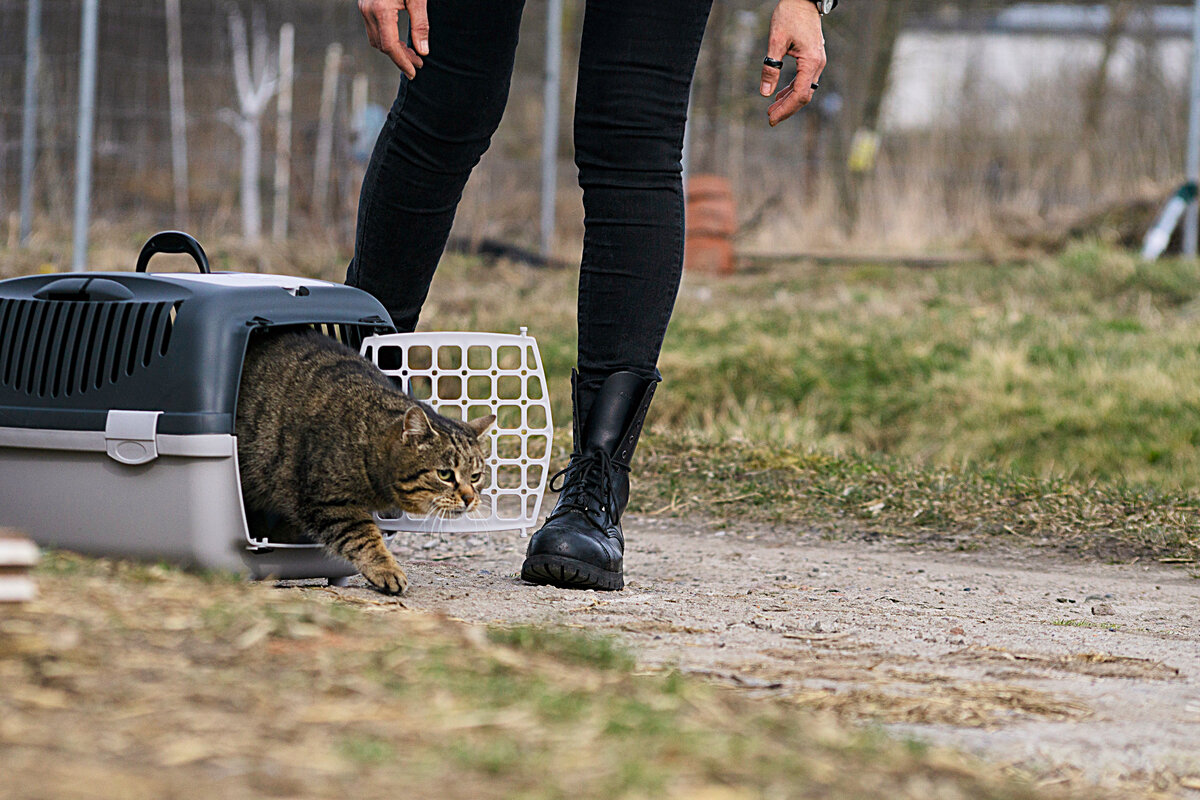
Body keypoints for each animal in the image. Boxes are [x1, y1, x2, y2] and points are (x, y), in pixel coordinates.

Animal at [236, 328, 489, 597]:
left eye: (475, 476)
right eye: (445, 474)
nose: (469, 498)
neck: (369, 443)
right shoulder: (326, 501)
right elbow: (363, 536)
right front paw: (386, 568)